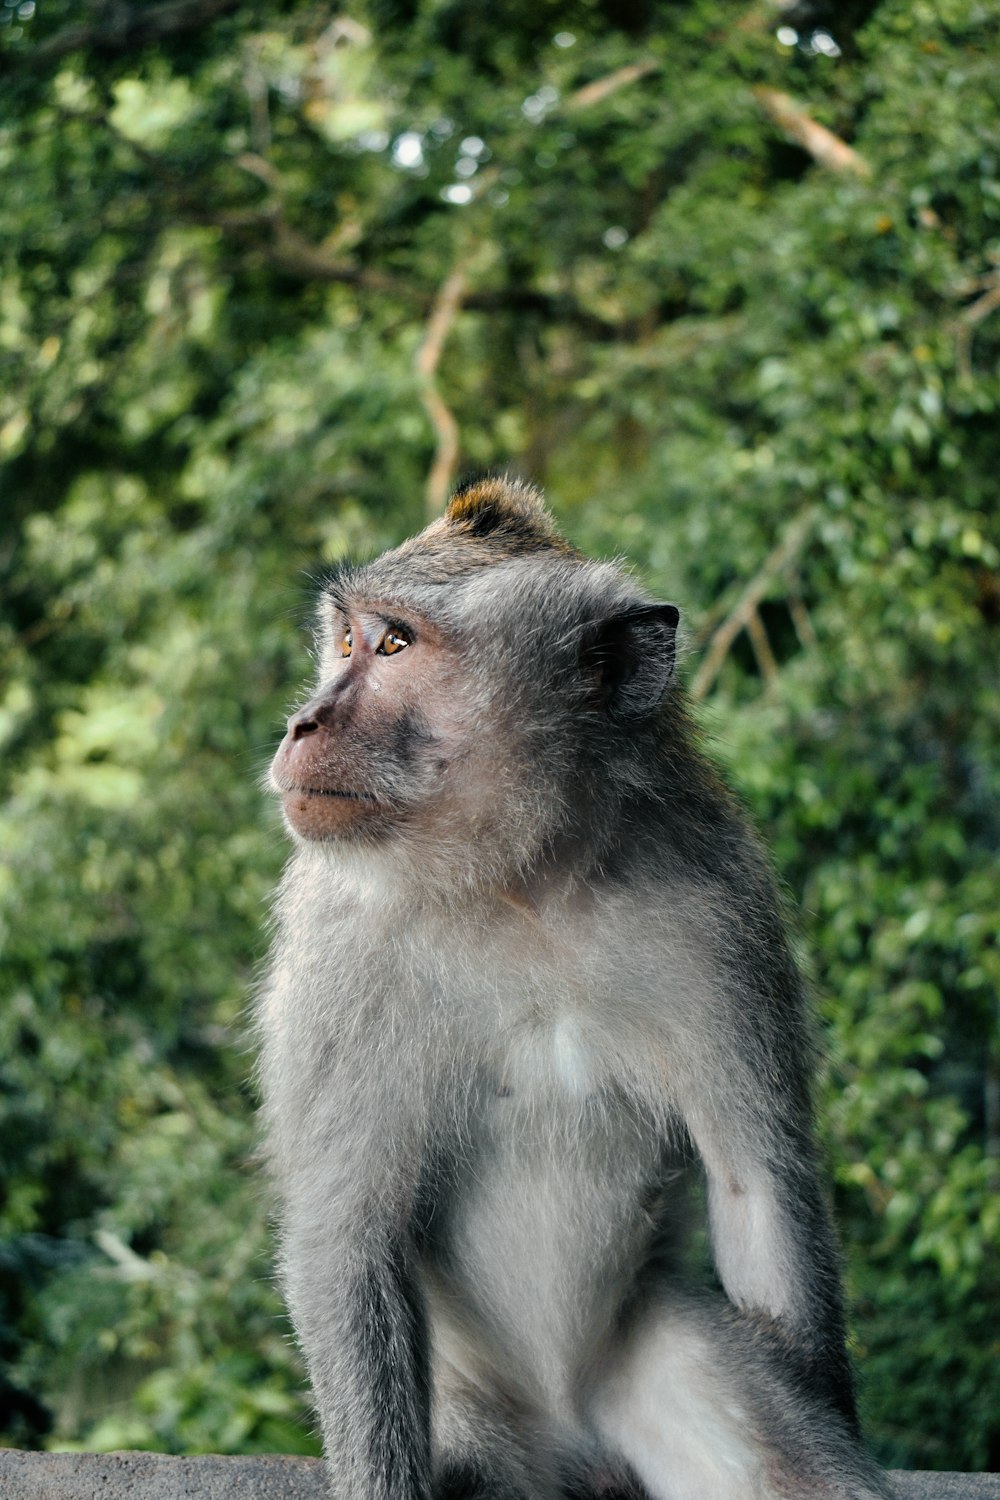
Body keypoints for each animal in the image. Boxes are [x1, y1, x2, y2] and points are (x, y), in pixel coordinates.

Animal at [256, 477, 893, 1500]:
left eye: (394, 645)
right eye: (346, 640)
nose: (302, 723)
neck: (526, 885)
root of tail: (573, 1439)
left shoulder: (723, 905)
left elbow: (755, 1183)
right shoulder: (339, 944)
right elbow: (346, 1238)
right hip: (479, 1424)